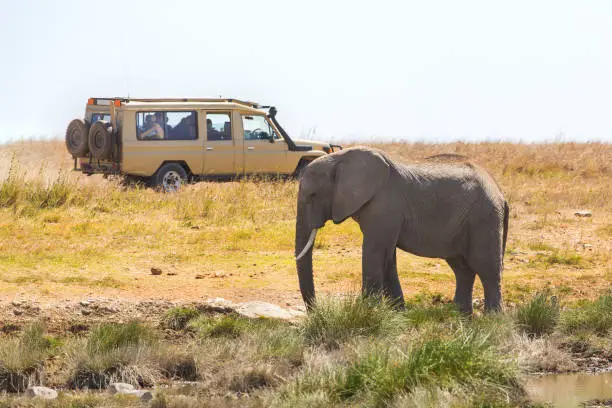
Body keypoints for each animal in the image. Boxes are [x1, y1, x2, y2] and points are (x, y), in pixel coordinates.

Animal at [294, 148, 510, 314]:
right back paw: (461, 316)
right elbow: (388, 256)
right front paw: (398, 313)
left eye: (313, 195)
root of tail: (500, 193)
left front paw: (367, 312)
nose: (316, 313)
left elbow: (375, 252)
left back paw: (493, 320)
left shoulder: (385, 205)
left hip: (484, 217)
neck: (340, 158)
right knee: (462, 269)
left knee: (487, 269)